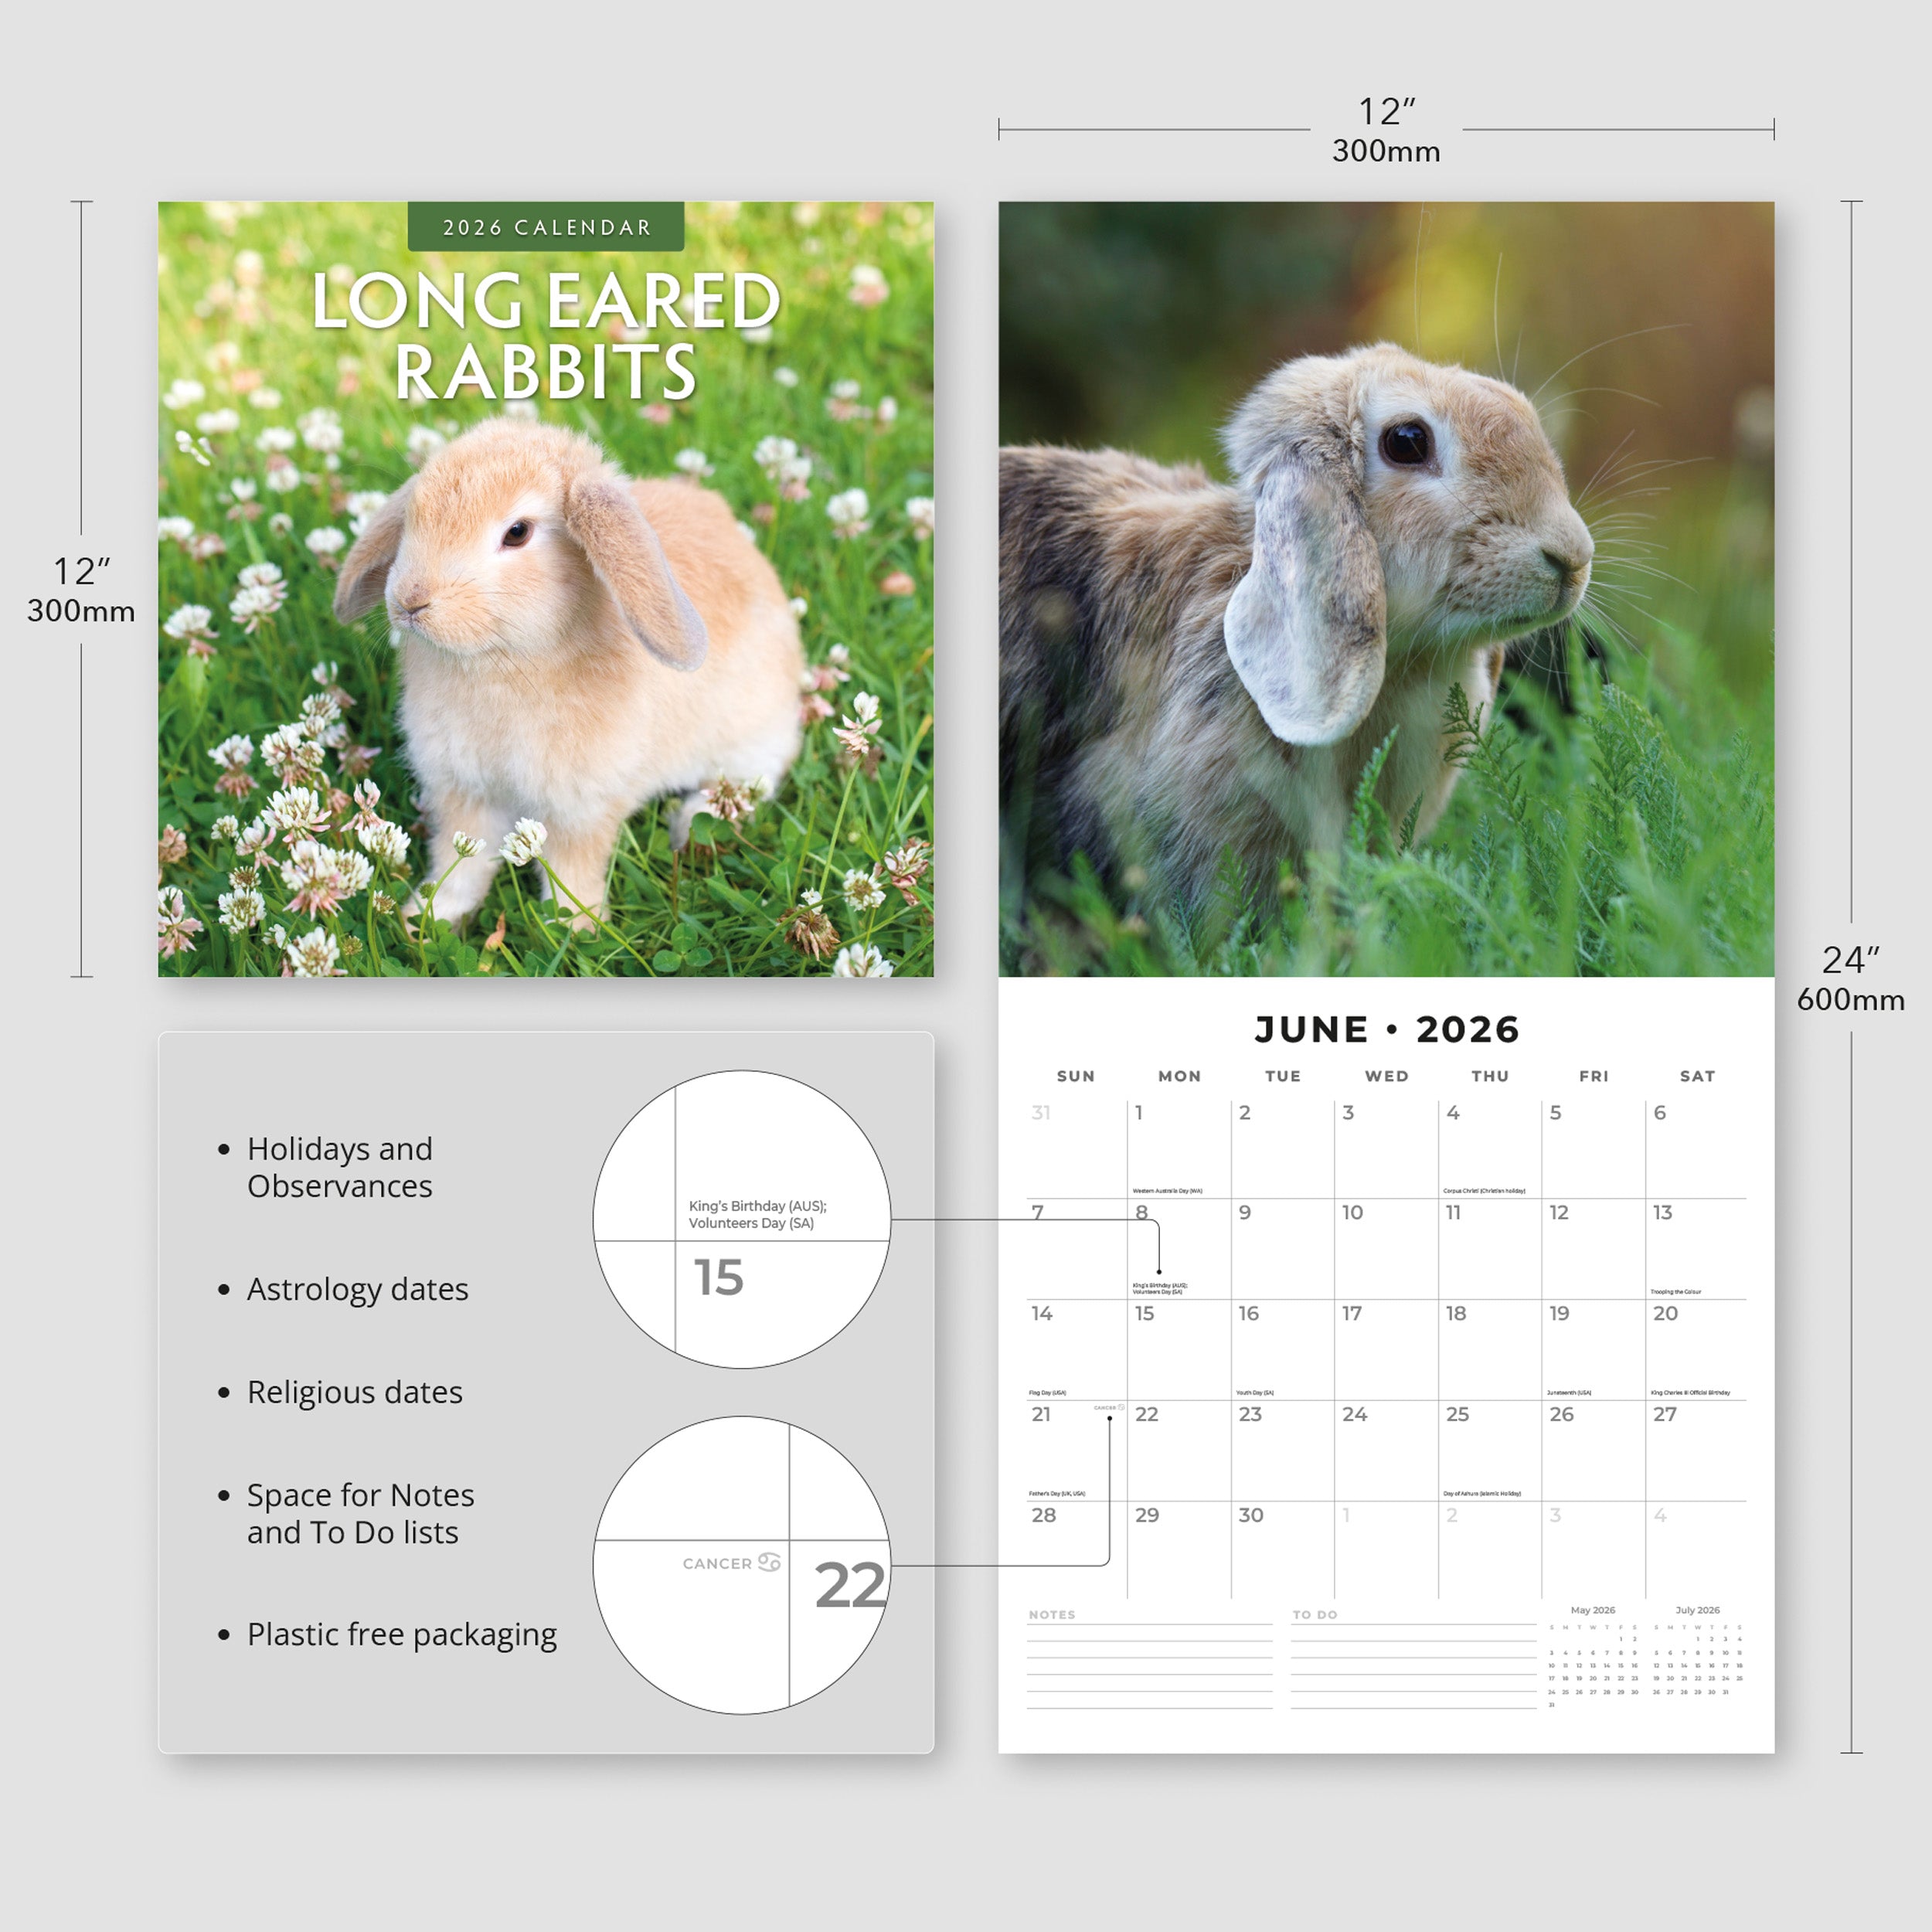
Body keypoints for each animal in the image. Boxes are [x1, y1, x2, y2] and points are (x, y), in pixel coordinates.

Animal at [333, 418, 803, 928]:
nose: (410, 600)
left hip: (749, 744)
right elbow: (460, 862)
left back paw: (689, 829)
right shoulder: (465, 793)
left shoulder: (581, 808)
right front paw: (428, 917)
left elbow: (571, 872)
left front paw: (580, 928)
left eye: (517, 532)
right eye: (413, 514)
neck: (503, 662)